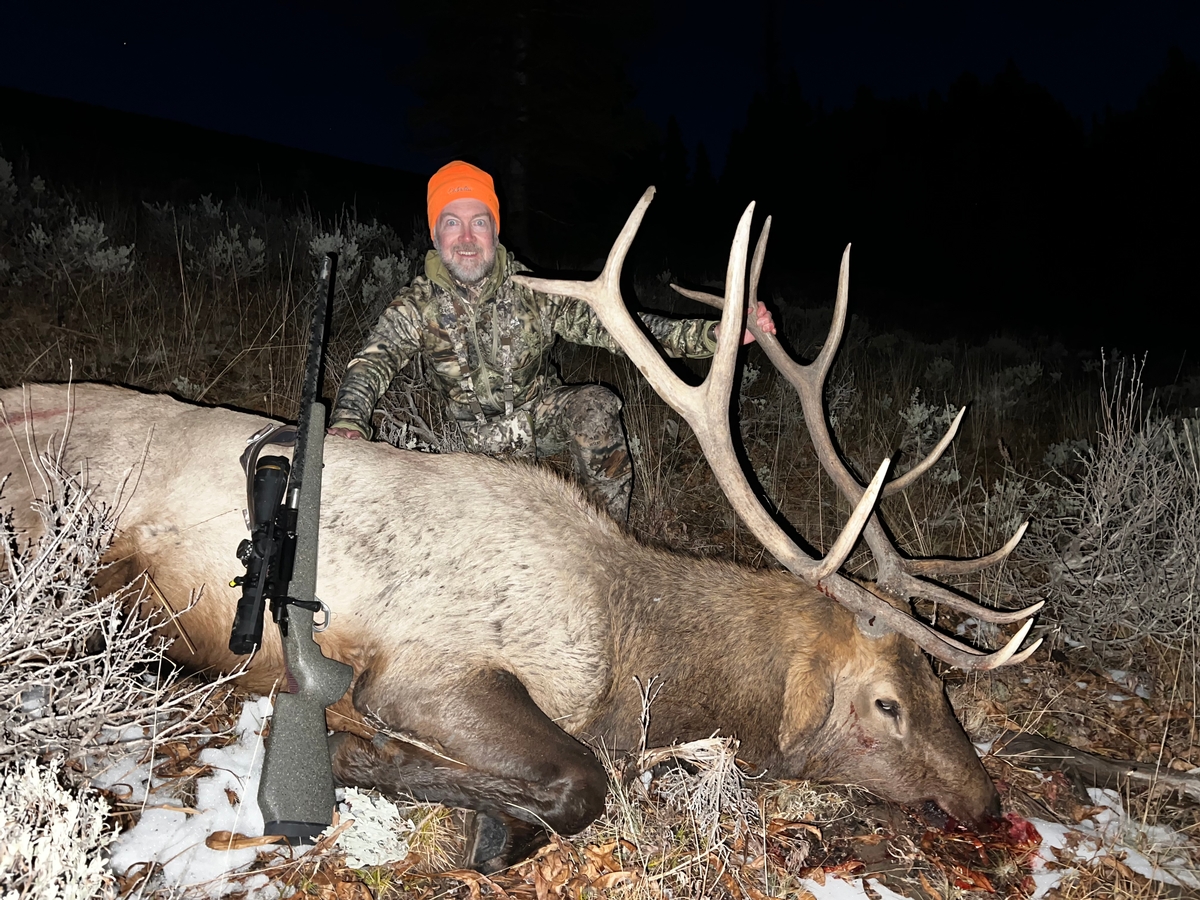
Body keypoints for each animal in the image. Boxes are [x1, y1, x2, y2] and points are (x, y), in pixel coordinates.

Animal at [2, 190, 1041, 873]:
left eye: (941, 685)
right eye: (887, 705)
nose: (987, 802)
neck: (629, 656)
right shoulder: (426, 670)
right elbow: (580, 779)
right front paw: (402, 780)